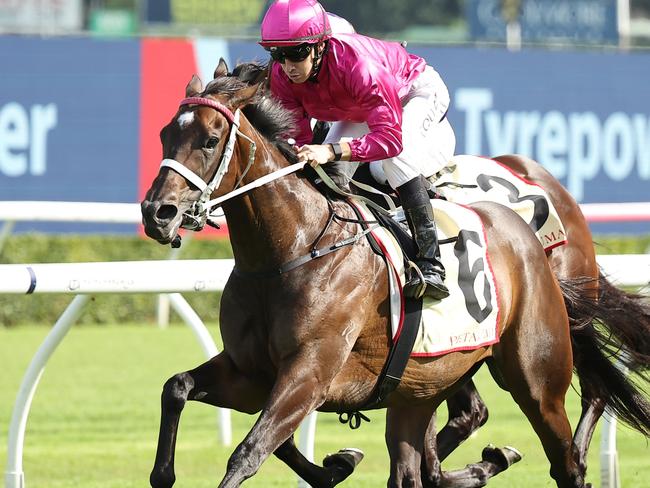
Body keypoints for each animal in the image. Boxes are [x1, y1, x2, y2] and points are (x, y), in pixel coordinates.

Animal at [143, 62, 648, 488]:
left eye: (210, 140)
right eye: (166, 133)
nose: (156, 213)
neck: (289, 252)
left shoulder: (309, 372)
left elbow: (249, 451)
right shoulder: (251, 373)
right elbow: (177, 389)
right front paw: (338, 463)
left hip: (536, 376)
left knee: (571, 445)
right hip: (422, 386)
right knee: (423, 456)